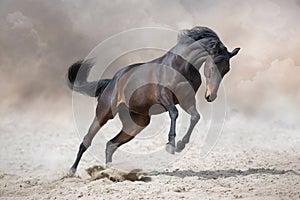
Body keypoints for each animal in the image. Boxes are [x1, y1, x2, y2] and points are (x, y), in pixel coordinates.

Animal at [67, 26, 240, 175]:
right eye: (213, 66)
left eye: (226, 69)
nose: (211, 96)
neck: (180, 66)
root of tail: (112, 81)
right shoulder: (164, 96)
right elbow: (174, 113)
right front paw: (171, 145)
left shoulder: (186, 100)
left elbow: (195, 117)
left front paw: (180, 145)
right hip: (105, 113)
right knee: (87, 141)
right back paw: (72, 171)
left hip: (137, 123)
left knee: (111, 144)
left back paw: (111, 172)